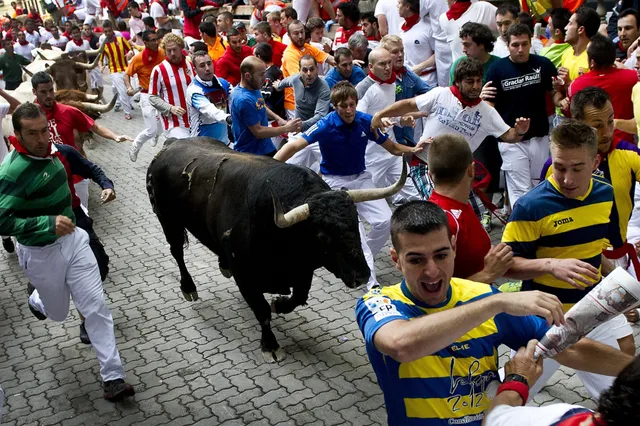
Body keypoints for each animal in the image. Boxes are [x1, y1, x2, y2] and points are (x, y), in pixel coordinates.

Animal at [148, 137, 408, 362]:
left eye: (356, 222)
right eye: (322, 236)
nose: (362, 275)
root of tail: (171, 144)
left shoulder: (302, 270)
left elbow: (299, 297)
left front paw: (280, 304)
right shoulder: (246, 275)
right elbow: (262, 312)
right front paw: (270, 345)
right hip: (167, 219)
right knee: (177, 252)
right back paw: (189, 288)